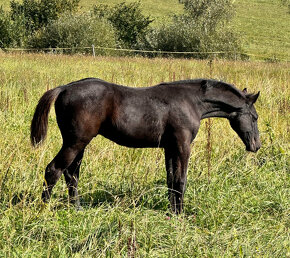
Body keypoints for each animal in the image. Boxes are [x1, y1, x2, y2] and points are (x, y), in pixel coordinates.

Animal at [31, 78, 260, 214]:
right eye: (255, 117)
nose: (256, 146)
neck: (192, 102)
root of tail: (64, 88)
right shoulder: (183, 145)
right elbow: (181, 180)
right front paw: (181, 214)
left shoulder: (169, 147)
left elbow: (171, 180)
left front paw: (172, 211)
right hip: (75, 142)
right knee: (54, 170)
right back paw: (43, 208)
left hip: (80, 144)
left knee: (71, 174)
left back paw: (77, 208)